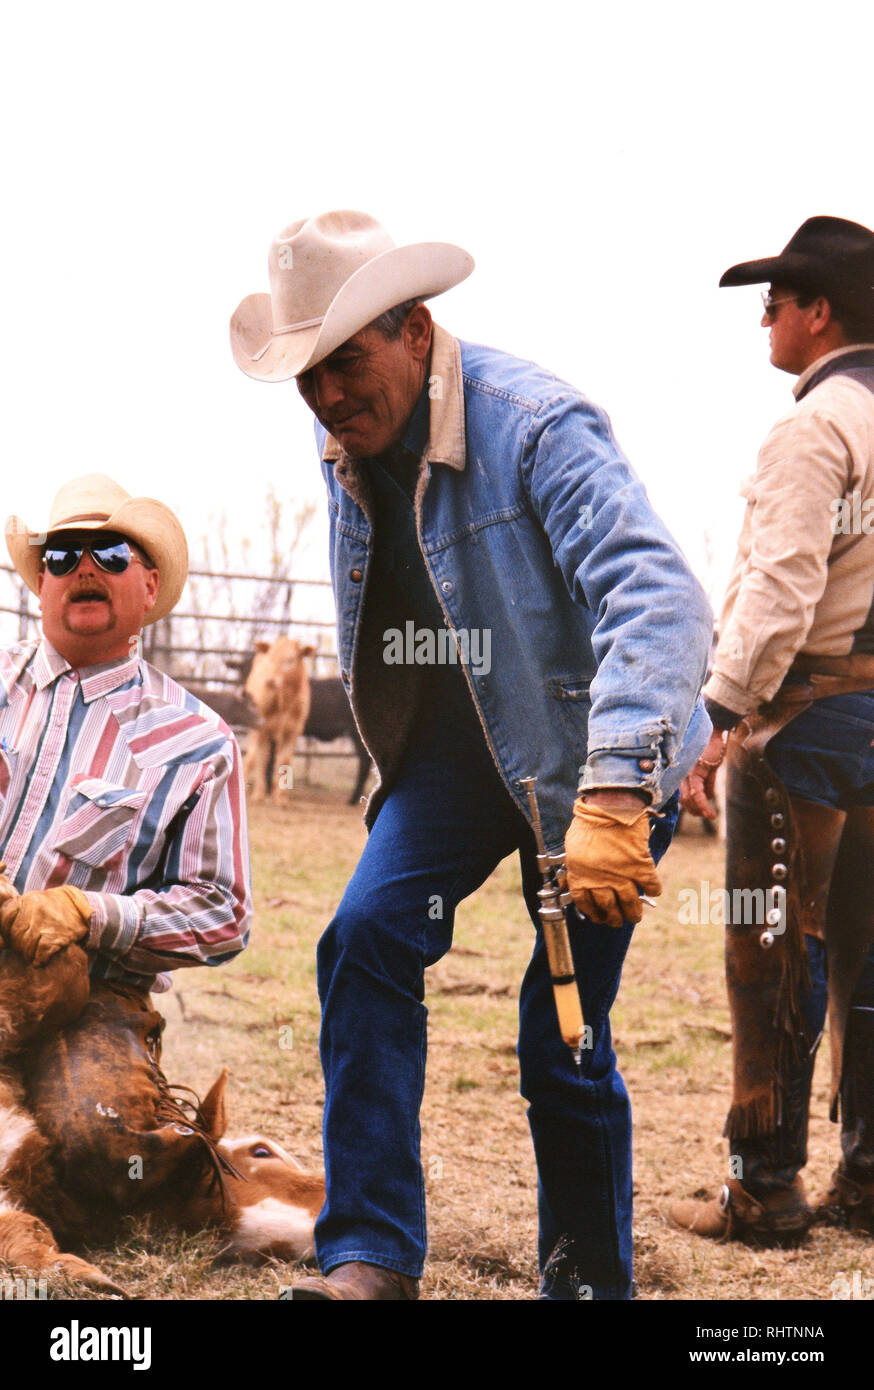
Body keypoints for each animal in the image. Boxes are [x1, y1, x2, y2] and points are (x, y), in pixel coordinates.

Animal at [243, 639, 315, 806]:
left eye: (290, 659)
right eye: (270, 658)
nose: (269, 680)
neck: (284, 701)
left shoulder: (292, 732)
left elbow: (284, 760)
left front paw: (281, 798)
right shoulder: (262, 730)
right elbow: (262, 759)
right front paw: (259, 795)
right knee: (251, 756)